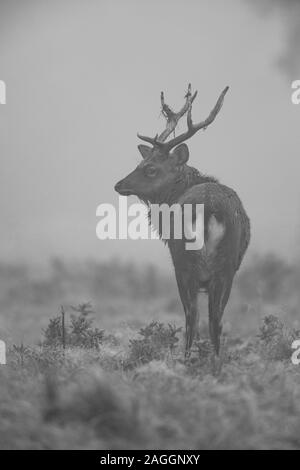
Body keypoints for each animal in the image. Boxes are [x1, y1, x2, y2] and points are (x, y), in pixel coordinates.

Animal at [115, 84, 251, 356]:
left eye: (151, 168)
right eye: (141, 161)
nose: (119, 184)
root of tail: (210, 209)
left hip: (185, 261)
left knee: (193, 315)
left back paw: (187, 358)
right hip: (226, 265)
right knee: (215, 318)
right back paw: (215, 359)